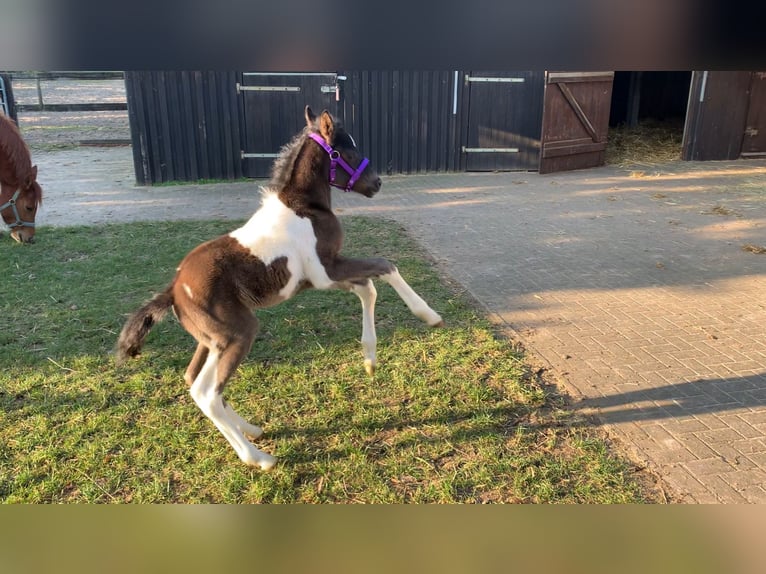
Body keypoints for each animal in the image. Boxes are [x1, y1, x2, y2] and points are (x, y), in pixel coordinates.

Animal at [118, 107, 448, 472]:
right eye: (345, 150)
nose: (376, 183)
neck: (304, 206)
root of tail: (174, 290)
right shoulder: (327, 269)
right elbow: (386, 267)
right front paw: (429, 315)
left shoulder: (323, 277)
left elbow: (368, 289)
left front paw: (370, 361)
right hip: (237, 333)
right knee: (206, 392)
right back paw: (258, 458)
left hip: (210, 341)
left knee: (194, 379)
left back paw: (251, 429)